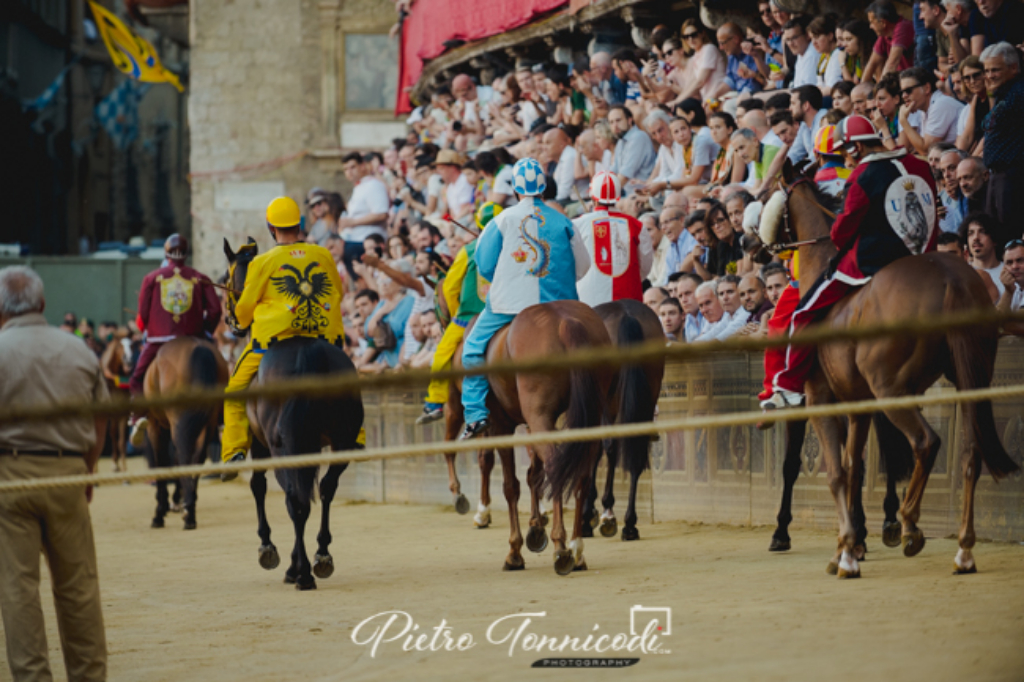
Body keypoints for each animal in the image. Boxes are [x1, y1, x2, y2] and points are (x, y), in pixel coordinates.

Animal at [140, 333, 226, 524]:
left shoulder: (155, 426)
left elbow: (162, 461)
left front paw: (160, 510)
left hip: (179, 421)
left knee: (184, 453)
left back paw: (188, 513)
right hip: (208, 421)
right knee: (196, 456)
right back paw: (189, 504)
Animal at [226, 238, 366, 589]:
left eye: (228, 277)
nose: (232, 322)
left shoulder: (261, 444)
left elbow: (258, 487)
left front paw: (269, 549)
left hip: (283, 447)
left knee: (294, 500)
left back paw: (300, 572)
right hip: (341, 440)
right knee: (326, 489)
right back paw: (321, 557)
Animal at [442, 301, 614, 569]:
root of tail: (566, 320)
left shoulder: (497, 422)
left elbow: (507, 481)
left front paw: (514, 549)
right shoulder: (528, 424)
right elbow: (533, 474)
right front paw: (536, 528)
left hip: (533, 415)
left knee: (554, 466)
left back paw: (561, 547)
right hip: (587, 417)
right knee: (580, 474)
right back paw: (576, 548)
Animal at [765, 173, 1019, 577]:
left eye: (772, 198)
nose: (752, 245)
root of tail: (951, 277)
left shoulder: (821, 398)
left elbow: (835, 473)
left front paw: (846, 549)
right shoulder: (859, 405)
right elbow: (854, 469)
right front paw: (848, 546)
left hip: (892, 391)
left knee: (925, 442)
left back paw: (909, 523)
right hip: (969, 381)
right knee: (970, 454)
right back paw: (962, 550)